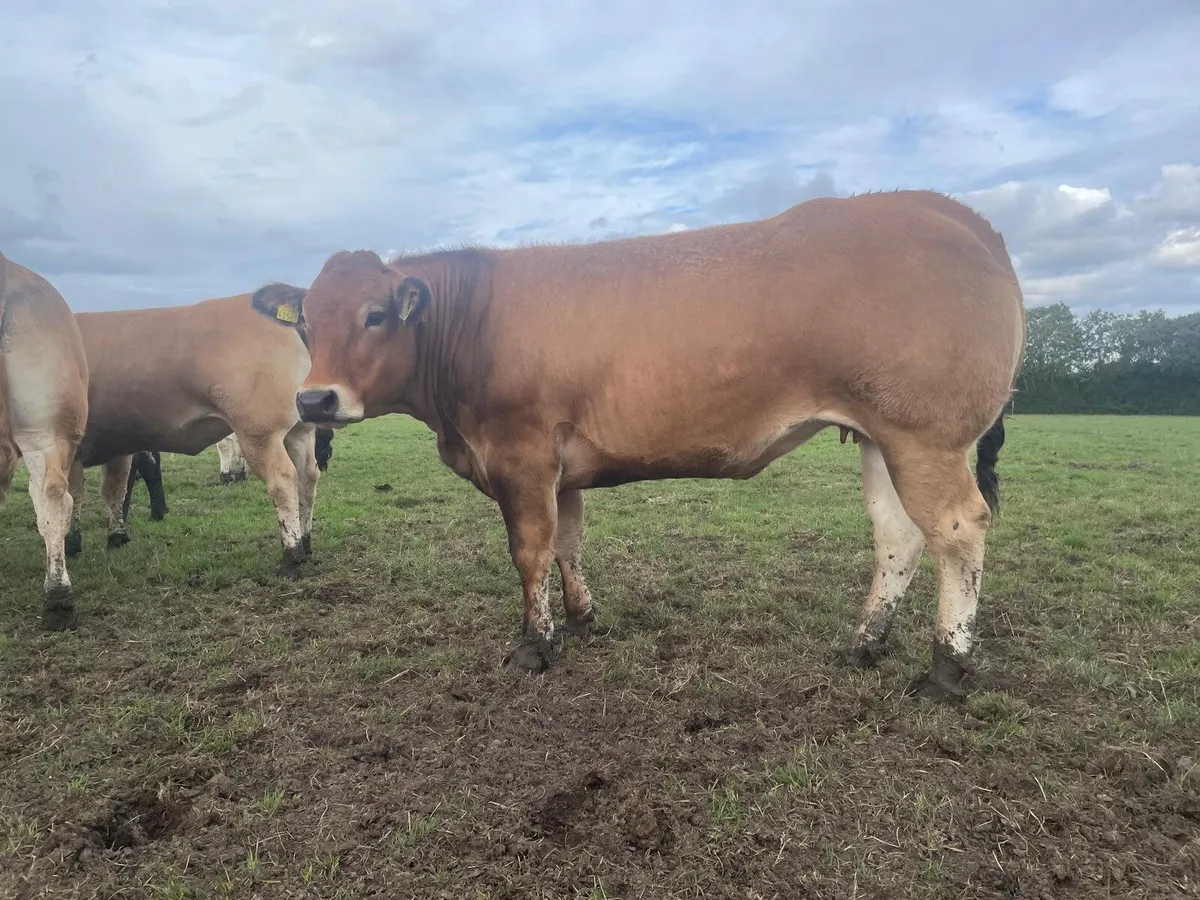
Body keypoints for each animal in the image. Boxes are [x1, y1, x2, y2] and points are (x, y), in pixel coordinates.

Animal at [65, 289, 322, 578]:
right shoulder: (118, 445)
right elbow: (114, 488)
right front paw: (116, 537)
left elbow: (73, 494)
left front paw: (71, 544)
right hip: (300, 429)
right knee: (308, 475)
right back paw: (306, 541)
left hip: (260, 432)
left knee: (283, 479)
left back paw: (292, 554)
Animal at [252, 190, 1027, 701]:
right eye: (306, 322)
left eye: (376, 315)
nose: (315, 401)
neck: (471, 324)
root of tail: (951, 213)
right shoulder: (561, 470)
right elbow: (568, 544)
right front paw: (581, 620)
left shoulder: (520, 454)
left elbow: (529, 551)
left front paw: (534, 646)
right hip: (878, 436)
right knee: (898, 534)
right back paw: (866, 644)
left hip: (925, 437)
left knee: (959, 529)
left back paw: (947, 669)